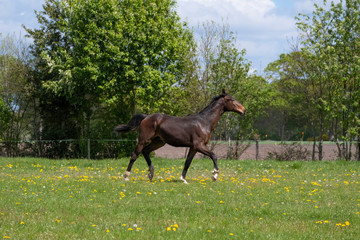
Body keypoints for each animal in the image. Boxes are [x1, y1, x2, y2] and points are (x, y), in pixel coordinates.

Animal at [114, 89, 246, 183]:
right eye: (231, 99)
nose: (243, 110)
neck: (204, 122)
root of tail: (146, 117)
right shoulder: (199, 145)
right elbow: (213, 155)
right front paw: (215, 175)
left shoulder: (193, 148)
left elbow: (187, 162)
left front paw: (183, 179)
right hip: (143, 140)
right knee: (134, 155)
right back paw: (126, 176)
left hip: (159, 142)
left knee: (146, 152)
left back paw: (151, 174)